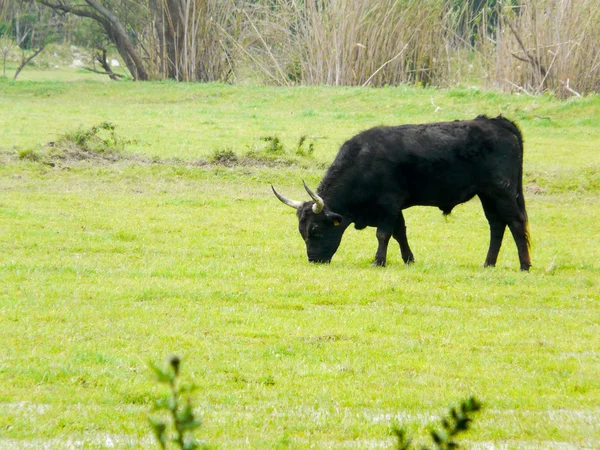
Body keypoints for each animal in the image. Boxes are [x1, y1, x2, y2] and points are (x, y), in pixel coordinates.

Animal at [270, 116, 528, 270]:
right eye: (302, 231)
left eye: (315, 230)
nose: (314, 260)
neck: (364, 160)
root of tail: (497, 122)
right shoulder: (395, 209)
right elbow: (400, 233)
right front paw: (408, 259)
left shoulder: (389, 204)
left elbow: (384, 234)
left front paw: (378, 261)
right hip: (487, 196)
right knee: (497, 226)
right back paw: (488, 263)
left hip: (501, 193)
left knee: (516, 223)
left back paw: (524, 265)